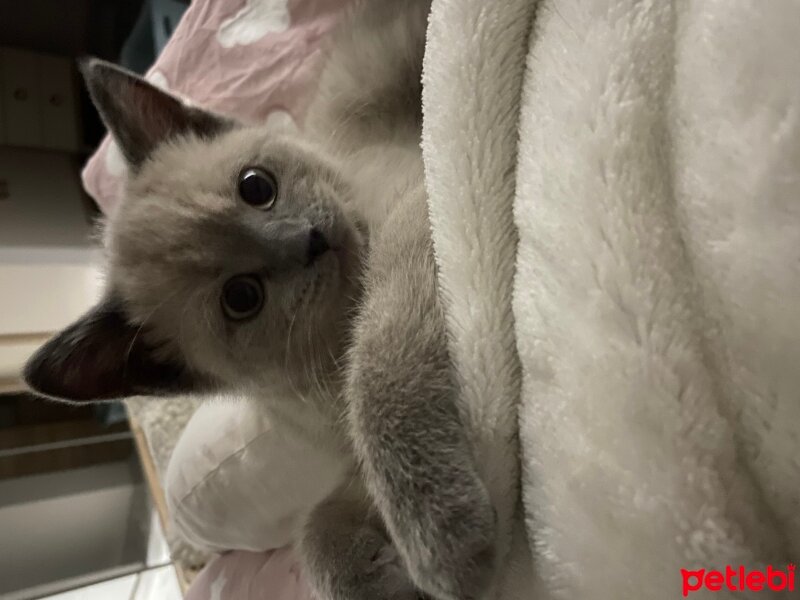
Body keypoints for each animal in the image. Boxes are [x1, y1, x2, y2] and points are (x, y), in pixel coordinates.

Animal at [25, 2, 496, 596]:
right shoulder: (347, 469)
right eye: (241, 297)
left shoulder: (412, 218)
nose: (310, 240)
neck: (330, 361)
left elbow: (379, 378)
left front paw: (445, 545)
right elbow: (316, 531)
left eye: (256, 187)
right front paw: (382, 581)